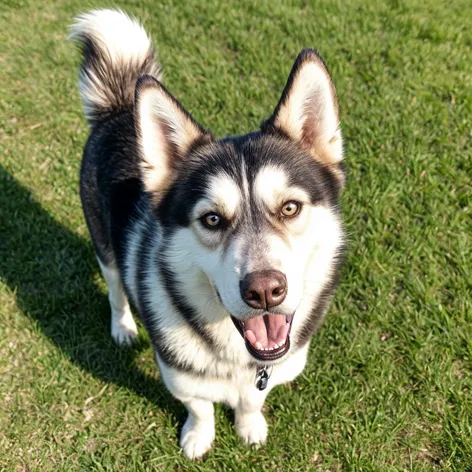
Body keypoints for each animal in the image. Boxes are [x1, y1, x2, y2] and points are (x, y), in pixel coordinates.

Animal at [72, 9, 348, 460]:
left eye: (290, 208)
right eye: (213, 219)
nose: (264, 291)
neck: (238, 358)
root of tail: (119, 108)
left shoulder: (267, 374)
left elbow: (253, 400)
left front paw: (249, 425)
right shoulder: (178, 374)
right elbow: (199, 406)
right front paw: (198, 437)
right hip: (104, 245)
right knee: (115, 289)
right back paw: (123, 327)